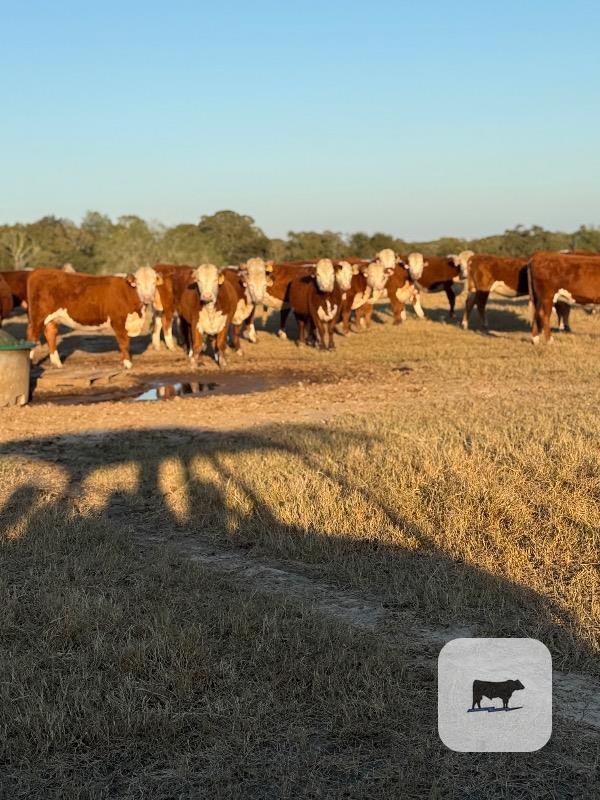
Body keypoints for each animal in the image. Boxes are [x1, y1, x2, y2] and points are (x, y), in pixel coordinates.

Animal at [26, 266, 162, 368]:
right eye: (138, 283)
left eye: (154, 283)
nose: (147, 298)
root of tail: (39, 272)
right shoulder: (118, 321)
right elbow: (124, 342)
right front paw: (127, 363)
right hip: (37, 316)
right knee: (32, 335)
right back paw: (31, 363)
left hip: (52, 318)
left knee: (50, 334)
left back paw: (57, 363)